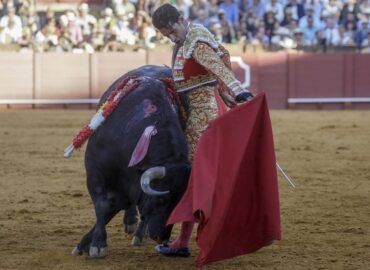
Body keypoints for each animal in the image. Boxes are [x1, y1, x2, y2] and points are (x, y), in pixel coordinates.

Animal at [71, 65, 191, 258]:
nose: (162, 237)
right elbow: (103, 206)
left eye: (179, 205)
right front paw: (94, 245)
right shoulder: (95, 170)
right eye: (160, 201)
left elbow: (111, 209)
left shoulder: (129, 186)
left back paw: (138, 232)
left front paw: (91, 243)